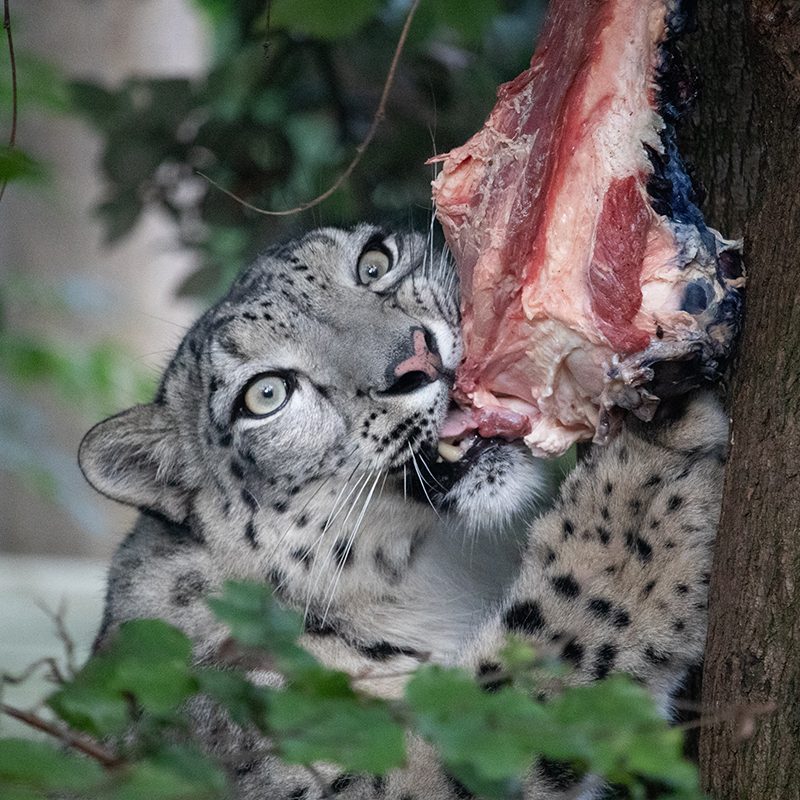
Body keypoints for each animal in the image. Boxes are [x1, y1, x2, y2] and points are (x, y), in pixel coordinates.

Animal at [79, 225, 724, 800]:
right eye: (265, 394)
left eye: (373, 263)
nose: (416, 360)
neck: (440, 573)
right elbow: (522, 674)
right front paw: (648, 479)